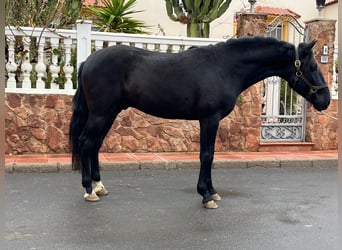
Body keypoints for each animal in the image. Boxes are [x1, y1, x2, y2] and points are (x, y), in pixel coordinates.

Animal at [69, 36, 328, 209]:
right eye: (313, 66)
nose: (325, 99)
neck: (224, 67)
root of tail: (88, 60)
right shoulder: (209, 119)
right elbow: (207, 155)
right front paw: (206, 195)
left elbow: (209, 155)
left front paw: (212, 192)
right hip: (101, 113)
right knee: (86, 142)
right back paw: (89, 190)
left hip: (109, 113)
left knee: (95, 144)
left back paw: (99, 186)